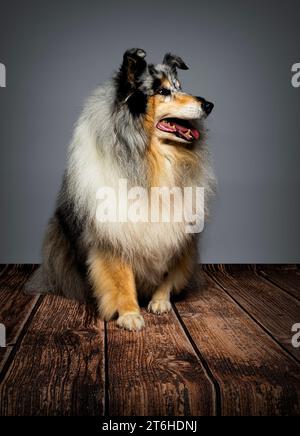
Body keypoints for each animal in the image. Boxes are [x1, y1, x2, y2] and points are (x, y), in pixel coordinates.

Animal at [25, 48, 214, 330]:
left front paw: (160, 301)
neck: (151, 159)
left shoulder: (178, 231)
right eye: (162, 91)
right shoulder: (113, 233)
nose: (209, 105)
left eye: (180, 86)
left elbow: (169, 272)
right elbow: (121, 279)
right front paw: (130, 314)